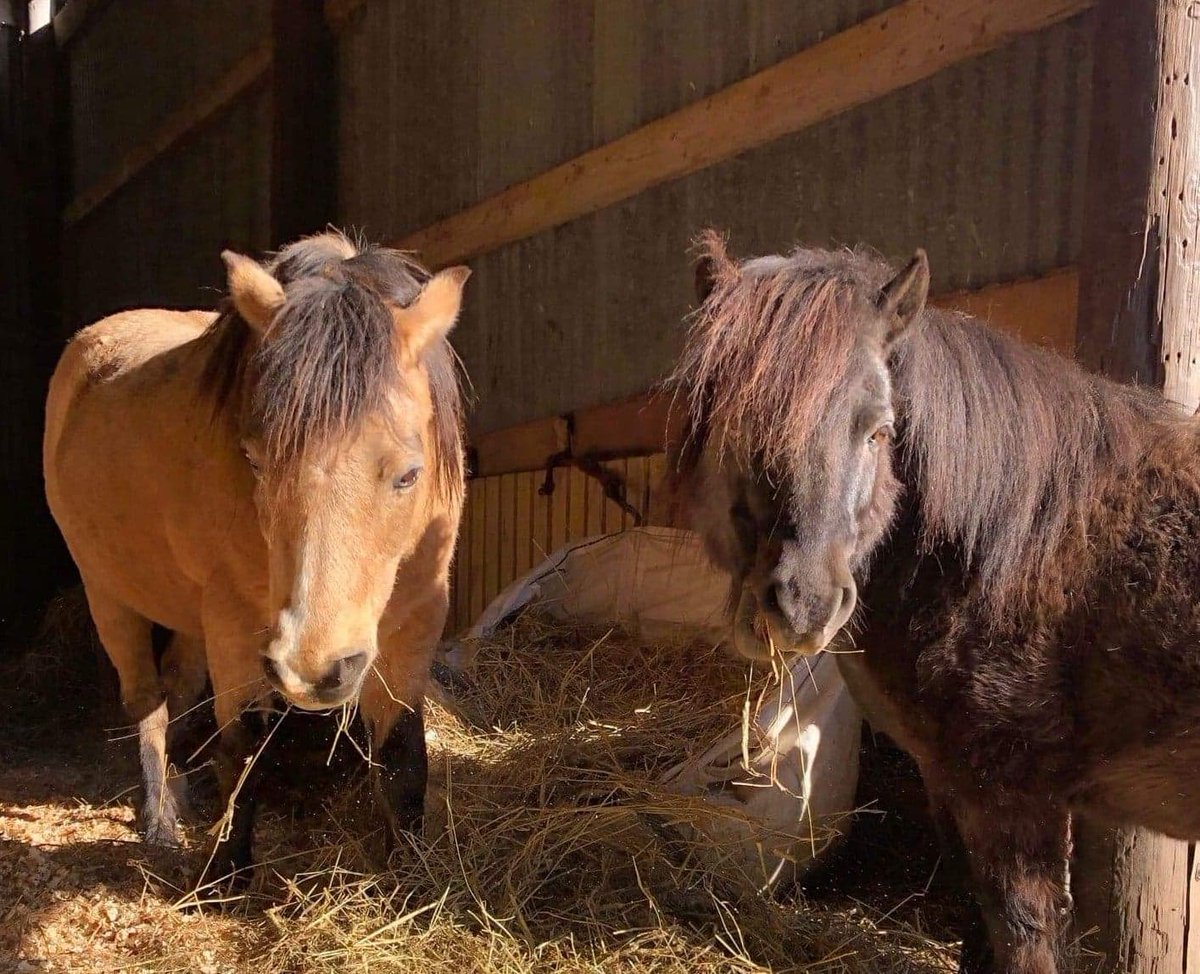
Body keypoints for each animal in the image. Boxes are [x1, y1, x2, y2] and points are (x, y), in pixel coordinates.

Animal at [43, 231, 469, 887]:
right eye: (256, 461)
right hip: (110, 598)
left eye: (409, 474)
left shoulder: (419, 617)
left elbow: (402, 757)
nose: (312, 670)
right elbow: (240, 746)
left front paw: (410, 877)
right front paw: (228, 876)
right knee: (148, 703)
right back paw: (161, 819)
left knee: (175, 690)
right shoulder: (233, 623)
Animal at [668, 231, 1200, 974]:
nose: (803, 605)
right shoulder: (948, 779)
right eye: (736, 423)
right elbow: (976, 921)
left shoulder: (1011, 795)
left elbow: (1023, 931)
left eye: (878, 430)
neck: (1007, 546)